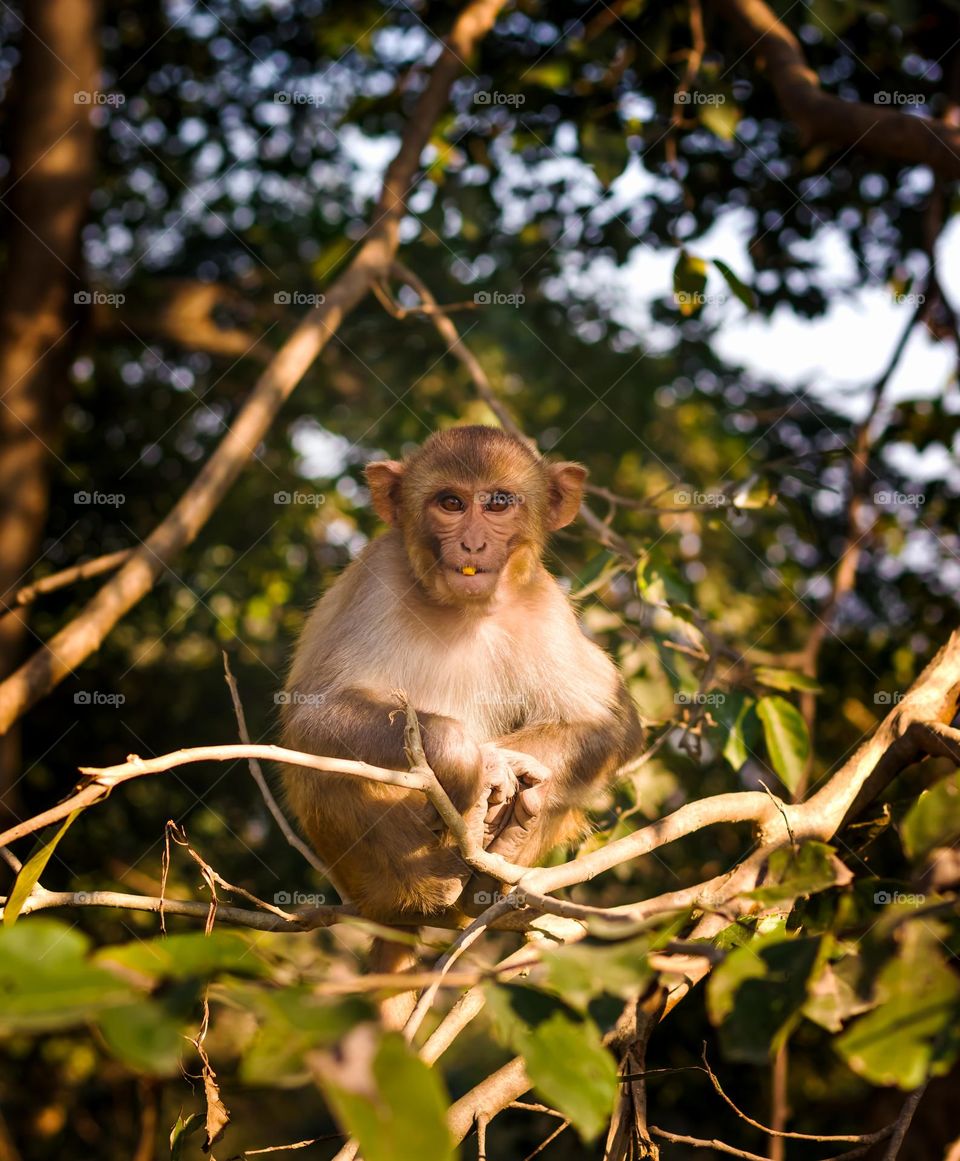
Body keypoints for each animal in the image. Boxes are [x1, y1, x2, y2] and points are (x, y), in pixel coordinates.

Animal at [283, 420, 645, 933]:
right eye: (451, 503)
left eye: (498, 503)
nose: (473, 544)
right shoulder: (378, 578)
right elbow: (311, 717)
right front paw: (477, 760)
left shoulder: (545, 605)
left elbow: (614, 725)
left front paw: (508, 764)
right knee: (326, 769)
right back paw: (430, 882)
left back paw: (497, 864)